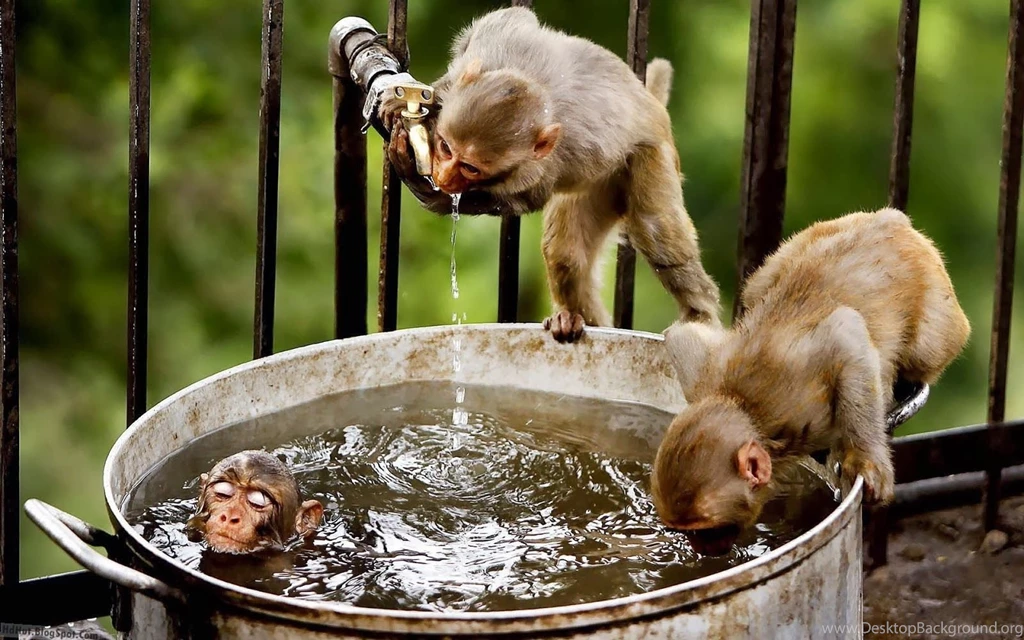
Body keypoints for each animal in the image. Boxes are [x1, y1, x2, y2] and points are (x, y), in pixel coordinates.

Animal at [380, 7, 721, 343]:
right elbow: (510, 17)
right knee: (566, 254)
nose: (444, 176)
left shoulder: (540, 167)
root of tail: (653, 105)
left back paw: (699, 315)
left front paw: (428, 189)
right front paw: (419, 100)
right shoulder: (493, 42)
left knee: (655, 229)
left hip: (649, 157)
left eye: (470, 168)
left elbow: (524, 199)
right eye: (445, 147)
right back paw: (574, 318)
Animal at [650, 208, 970, 546]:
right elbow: (679, 335)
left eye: (704, 529)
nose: (700, 547)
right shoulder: (705, 378)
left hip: (936, 304)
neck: (748, 409)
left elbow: (846, 331)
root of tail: (890, 220)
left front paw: (868, 460)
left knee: (924, 351)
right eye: (683, 529)